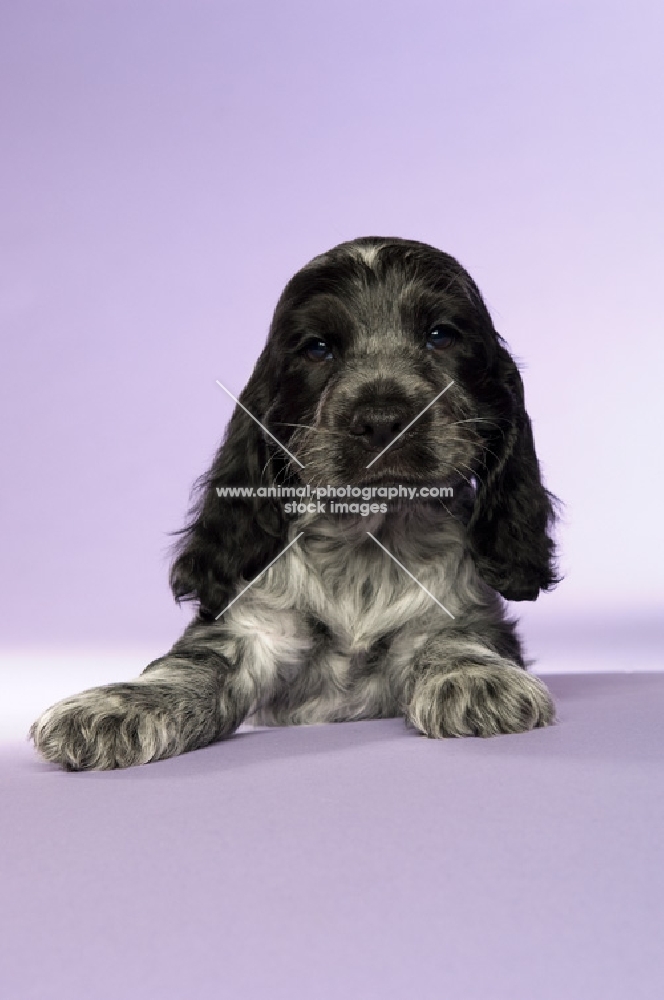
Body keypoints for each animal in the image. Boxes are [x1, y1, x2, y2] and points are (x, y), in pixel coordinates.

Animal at [31, 236, 560, 772]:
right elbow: (192, 664)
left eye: (441, 335)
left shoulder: (460, 609)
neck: (371, 537)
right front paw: (111, 707)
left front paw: (476, 679)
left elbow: (456, 638)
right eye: (317, 348)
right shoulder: (253, 628)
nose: (382, 420)